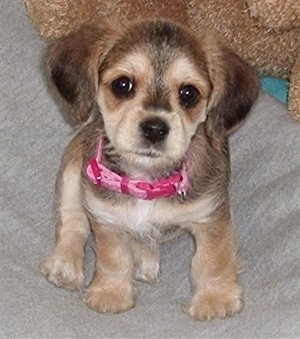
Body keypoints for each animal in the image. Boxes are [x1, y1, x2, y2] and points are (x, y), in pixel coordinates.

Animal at [40, 18, 260, 322]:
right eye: (123, 85)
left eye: (189, 93)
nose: (155, 128)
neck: (146, 182)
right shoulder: (105, 214)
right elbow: (113, 258)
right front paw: (111, 293)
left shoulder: (210, 214)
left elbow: (212, 259)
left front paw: (215, 299)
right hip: (74, 167)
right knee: (72, 221)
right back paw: (66, 264)